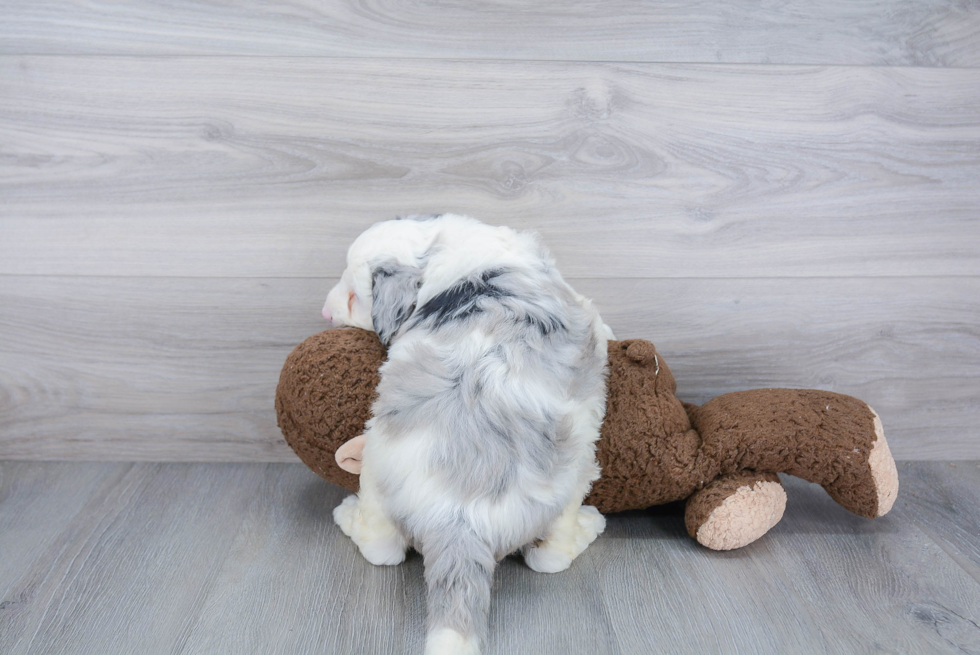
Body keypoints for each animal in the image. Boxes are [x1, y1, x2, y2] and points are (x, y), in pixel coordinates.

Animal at [322, 215, 612, 655]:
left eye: (355, 298)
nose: (324, 312)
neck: (446, 250)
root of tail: (459, 517)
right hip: (573, 476)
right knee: (549, 557)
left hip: (378, 470)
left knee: (383, 550)